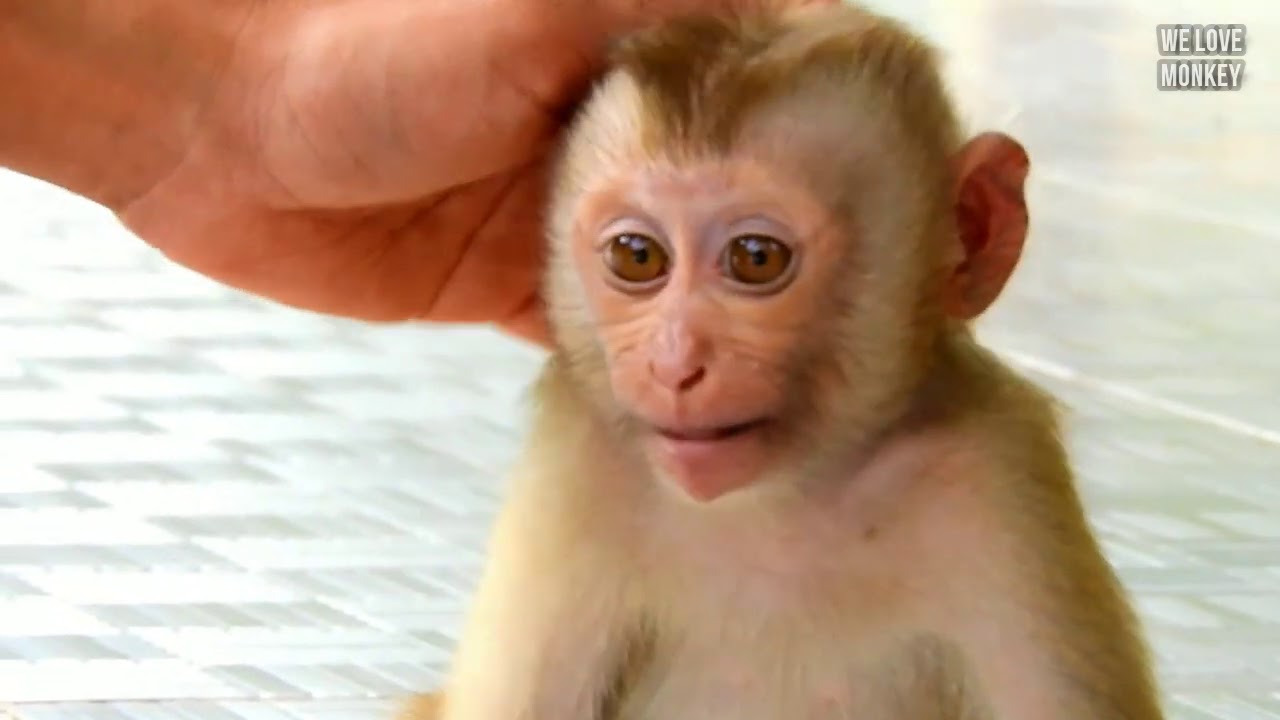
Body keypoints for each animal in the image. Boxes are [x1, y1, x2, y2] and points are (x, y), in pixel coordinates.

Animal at [398, 3, 1165, 719]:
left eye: (756, 258)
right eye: (637, 256)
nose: (674, 365)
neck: (785, 496)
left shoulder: (997, 473)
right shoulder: (577, 463)